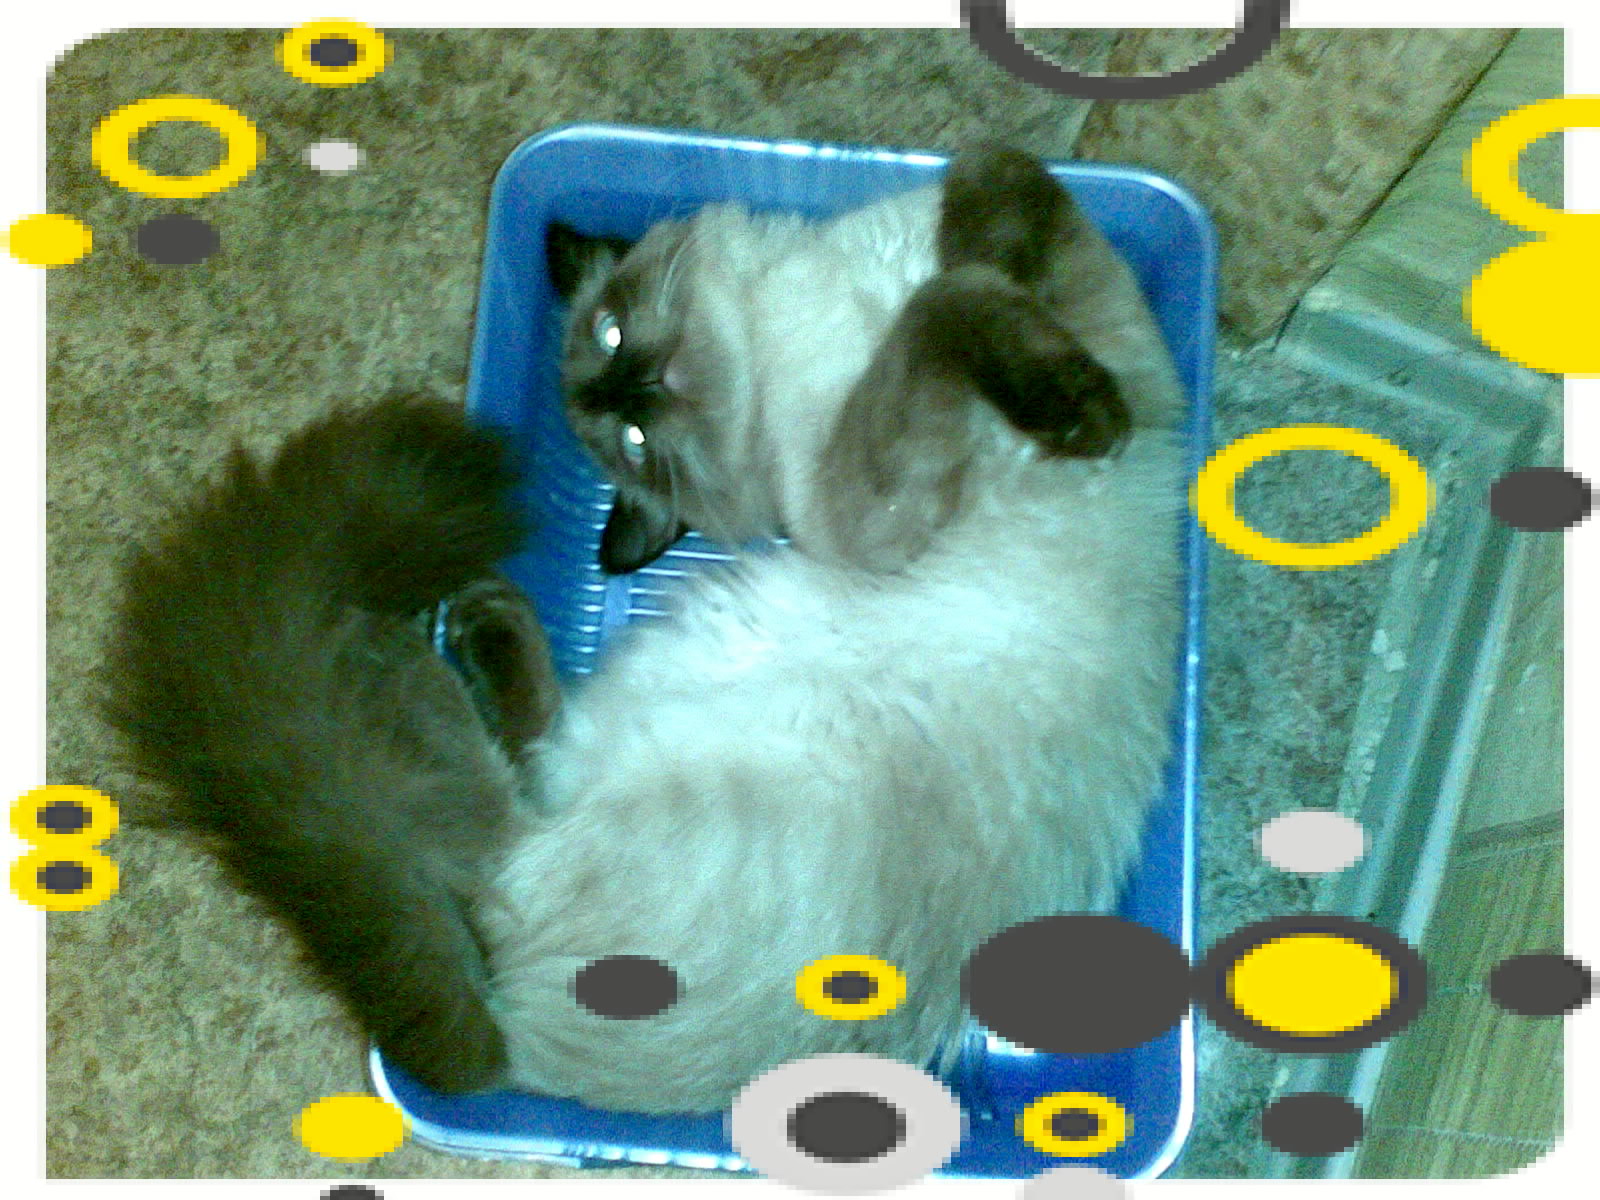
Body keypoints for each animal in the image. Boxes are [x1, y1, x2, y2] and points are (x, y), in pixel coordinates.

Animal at [102, 147, 1186, 1113]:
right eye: (625, 433)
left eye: (615, 331)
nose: (632, 388)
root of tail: (505, 1063)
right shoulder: (864, 512)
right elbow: (949, 300)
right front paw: (1054, 373)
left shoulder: (1093, 310)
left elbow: (1002, 183)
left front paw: (1009, 283)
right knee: (477, 837)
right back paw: (414, 649)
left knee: (512, 794)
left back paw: (474, 628)